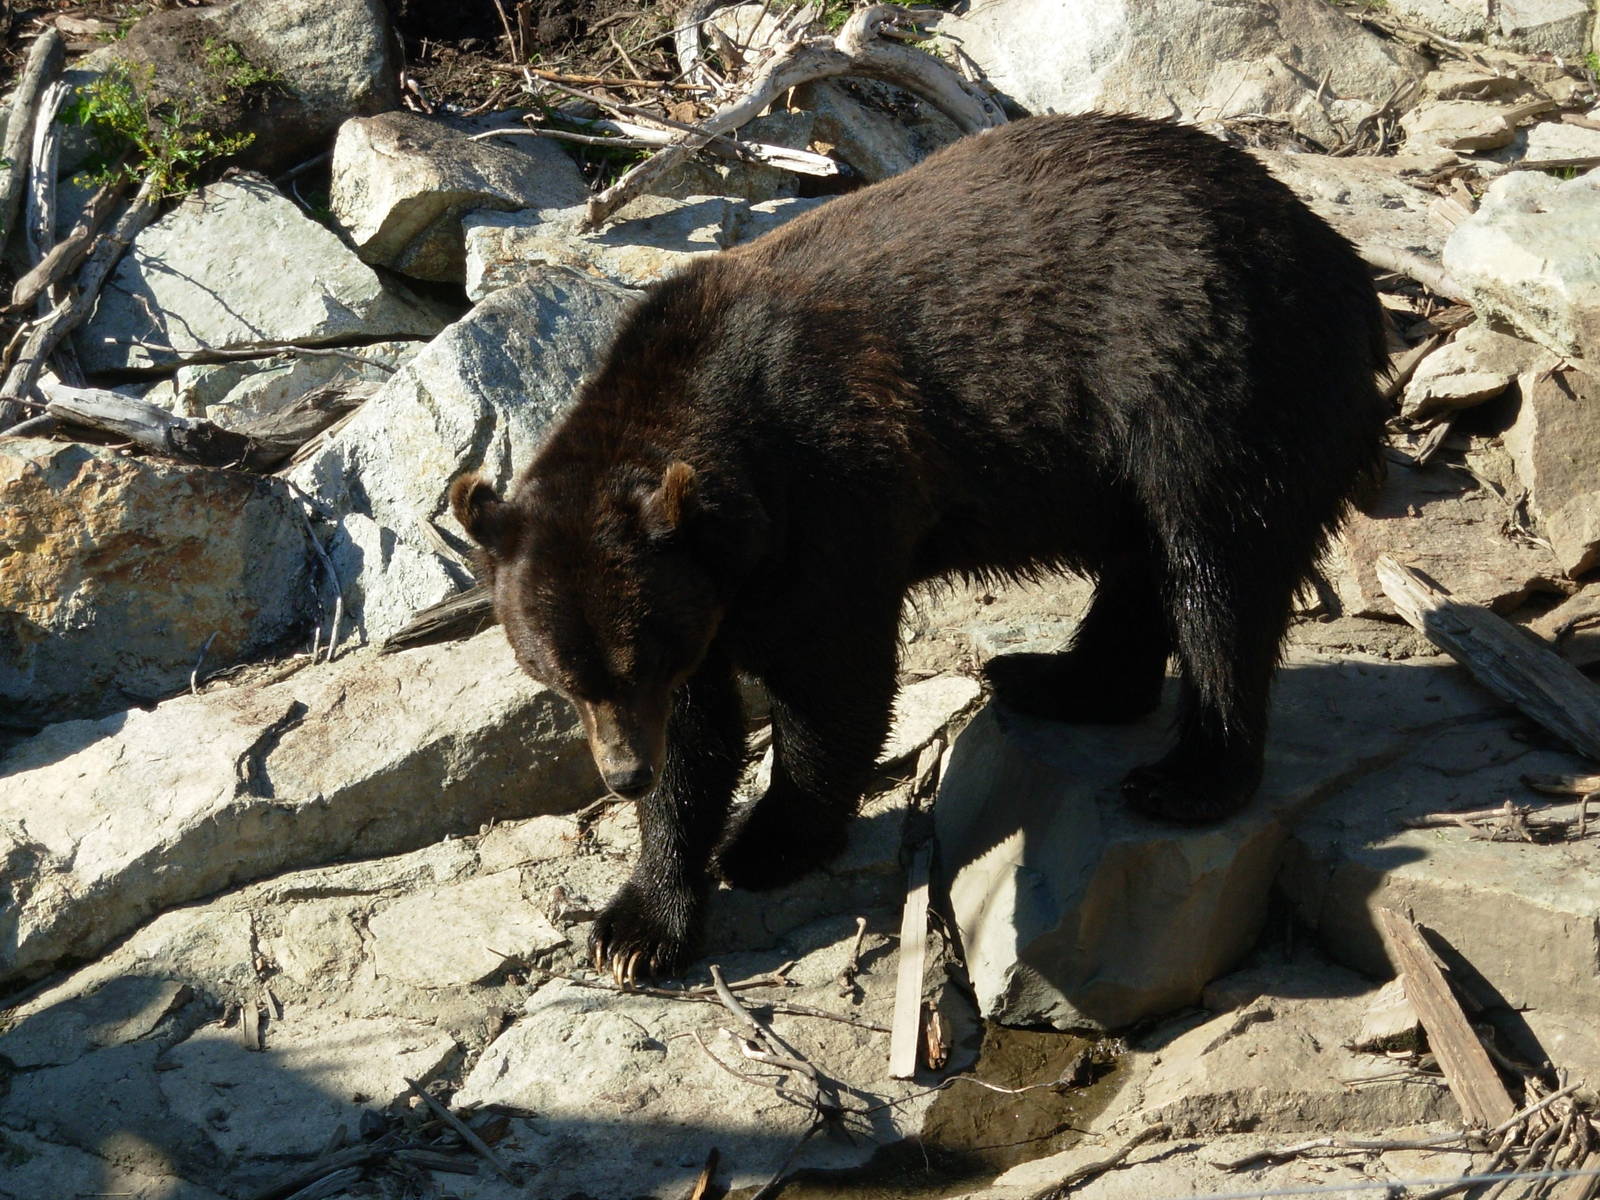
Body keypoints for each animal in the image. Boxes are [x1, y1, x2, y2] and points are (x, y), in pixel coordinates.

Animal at [451, 113, 1389, 983]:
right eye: (560, 675)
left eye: (635, 658)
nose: (621, 775)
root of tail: (1346, 266)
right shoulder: (707, 586)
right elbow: (697, 733)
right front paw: (638, 926)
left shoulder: (831, 491)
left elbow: (834, 679)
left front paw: (770, 840)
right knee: (1149, 566)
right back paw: (1056, 677)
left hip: (1221, 386)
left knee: (1215, 572)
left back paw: (1187, 774)